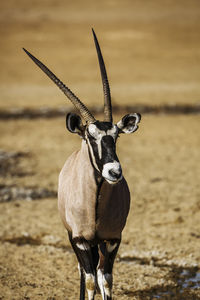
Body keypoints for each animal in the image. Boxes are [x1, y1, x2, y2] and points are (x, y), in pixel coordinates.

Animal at [23, 28, 141, 300]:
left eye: (116, 136)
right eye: (90, 137)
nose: (114, 171)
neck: (95, 201)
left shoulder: (112, 239)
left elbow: (105, 279)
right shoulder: (79, 240)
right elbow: (88, 280)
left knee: (96, 272)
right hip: (75, 238)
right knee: (83, 271)